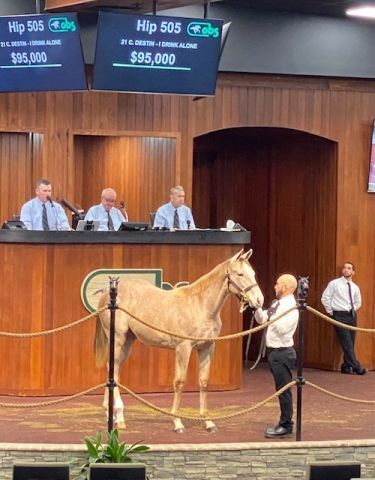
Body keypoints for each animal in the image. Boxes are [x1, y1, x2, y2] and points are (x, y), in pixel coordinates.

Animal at [94, 249, 264, 434]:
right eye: (240, 274)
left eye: (253, 273)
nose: (259, 300)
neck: (201, 306)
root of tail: (108, 293)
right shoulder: (183, 348)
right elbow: (179, 382)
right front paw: (177, 423)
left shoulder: (207, 347)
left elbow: (204, 382)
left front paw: (208, 422)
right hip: (118, 339)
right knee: (112, 369)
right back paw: (117, 415)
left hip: (128, 341)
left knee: (114, 370)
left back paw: (114, 416)